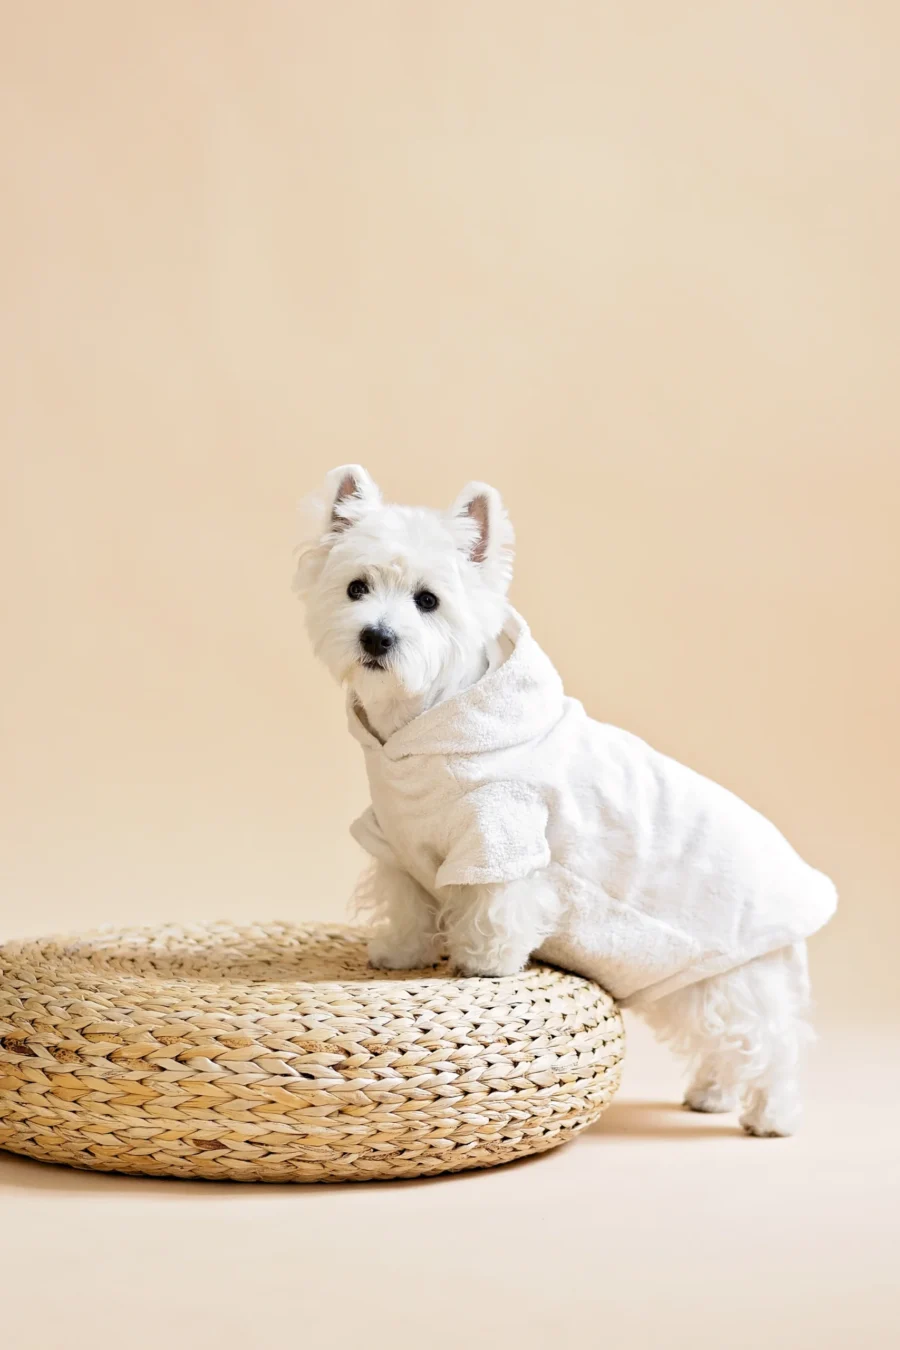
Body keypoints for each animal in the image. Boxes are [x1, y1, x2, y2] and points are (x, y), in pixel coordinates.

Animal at [295, 469, 836, 1134]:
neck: (414, 727)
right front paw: (398, 953)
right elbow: (405, 903)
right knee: (722, 1044)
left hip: (740, 975)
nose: (376, 636)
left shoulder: (501, 835)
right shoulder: (394, 837)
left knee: (772, 1041)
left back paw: (772, 1115)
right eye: (355, 588)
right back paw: (711, 1094)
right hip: (689, 984)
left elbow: (495, 909)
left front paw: (484, 965)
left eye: (428, 600)